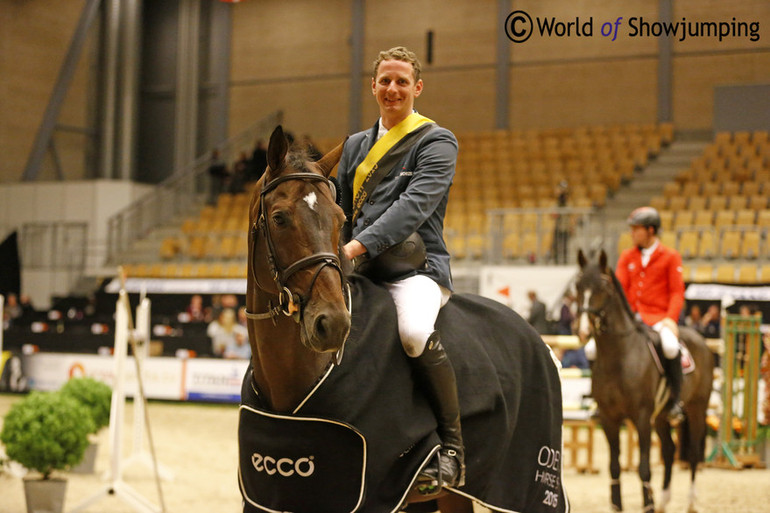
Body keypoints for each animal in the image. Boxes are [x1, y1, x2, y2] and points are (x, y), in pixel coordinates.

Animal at [237, 124, 568, 512]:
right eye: (279, 218)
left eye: (338, 219)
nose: (333, 324)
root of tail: (536, 338)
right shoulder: (264, 497)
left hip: (530, 483)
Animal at [572, 250, 712, 510]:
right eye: (577, 286)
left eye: (603, 287)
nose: (583, 330)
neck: (618, 356)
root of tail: (700, 339)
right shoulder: (608, 418)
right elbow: (614, 465)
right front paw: (617, 505)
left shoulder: (641, 416)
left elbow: (644, 467)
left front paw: (647, 504)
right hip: (661, 417)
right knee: (669, 450)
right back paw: (664, 501)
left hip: (697, 408)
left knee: (693, 452)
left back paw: (690, 501)